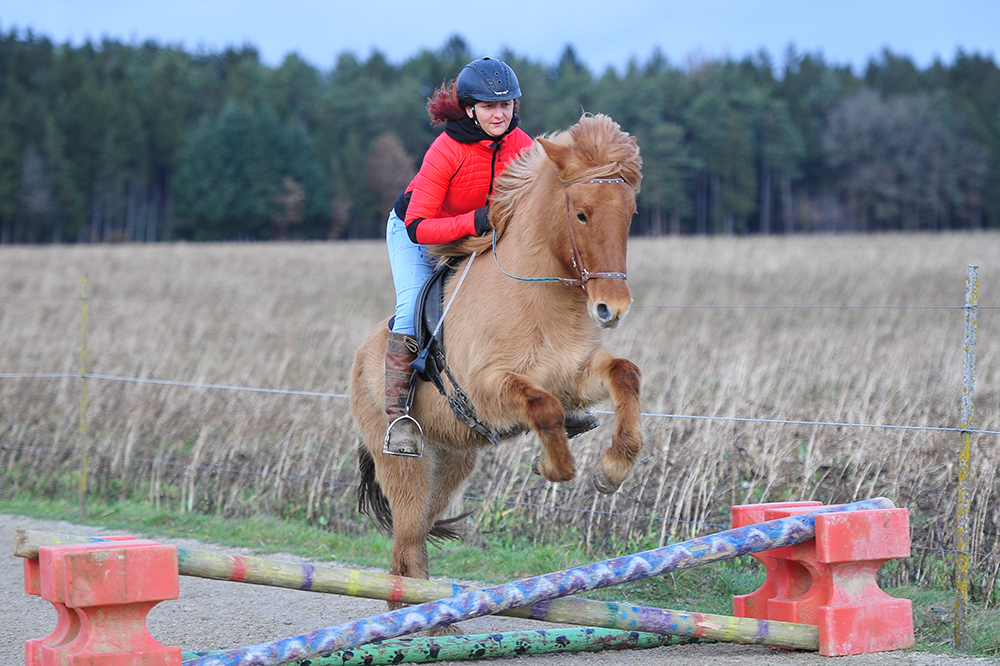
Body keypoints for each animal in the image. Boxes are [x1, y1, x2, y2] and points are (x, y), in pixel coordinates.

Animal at [352, 113, 644, 600]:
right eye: (581, 213)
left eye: (629, 215)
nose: (612, 308)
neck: (538, 293)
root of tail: (360, 359)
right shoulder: (489, 387)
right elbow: (543, 409)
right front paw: (552, 464)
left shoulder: (572, 375)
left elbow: (624, 373)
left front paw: (613, 469)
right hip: (404, 464)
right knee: (405, 546)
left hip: (452, 463)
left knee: (416, 539)